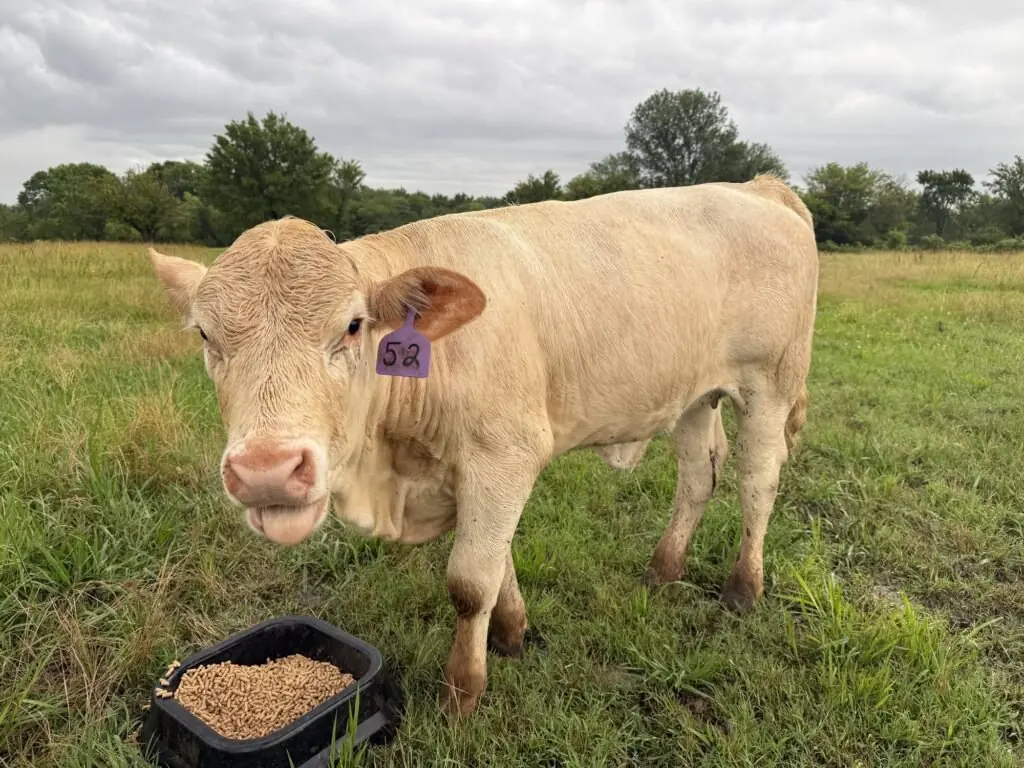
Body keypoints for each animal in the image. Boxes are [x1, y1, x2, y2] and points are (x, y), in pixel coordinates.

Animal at [146, 174, 817, 717]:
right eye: (204, 335)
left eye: (353, 326)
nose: (267, 469)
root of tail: (758, 187)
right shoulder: (481, 470)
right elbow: (498, 561)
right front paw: (513, 632)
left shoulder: (504, 454)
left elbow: (470, 582)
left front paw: (462, 693)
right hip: (695, 396)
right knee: (698, 476)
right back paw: (663, 569)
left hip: (770, 384)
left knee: (757, 483)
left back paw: (743, 590)